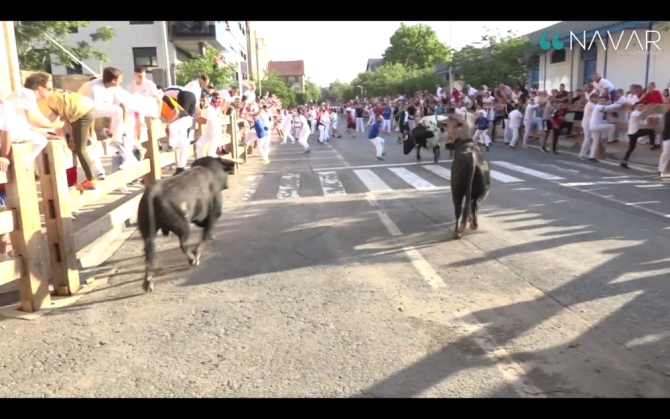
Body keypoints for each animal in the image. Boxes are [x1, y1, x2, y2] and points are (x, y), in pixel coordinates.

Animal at [136, 157, 236, 292]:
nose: (227, 184)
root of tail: (153, 193)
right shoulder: (213, 215)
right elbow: (206, 234)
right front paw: (198, 253)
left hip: (148, 232)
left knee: (149, 253)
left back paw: (148, 282)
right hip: (183, 226)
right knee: (183, 245)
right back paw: (193, 259)